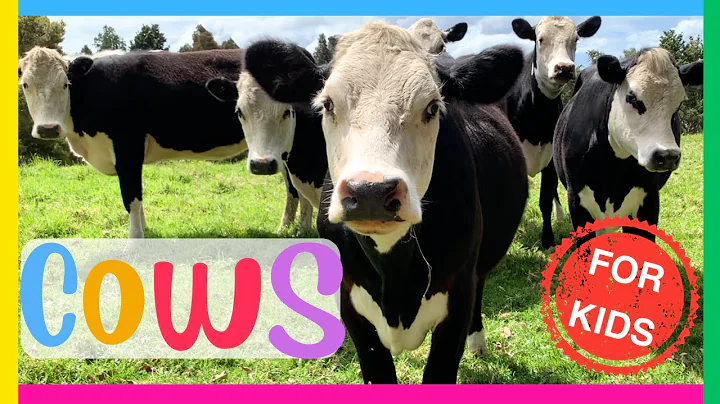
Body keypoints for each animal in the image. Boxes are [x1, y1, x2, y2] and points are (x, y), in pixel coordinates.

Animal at [18, 47, 302, 238]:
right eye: (25, 85)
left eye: (65, 84)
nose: (48, 129)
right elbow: (137, 196)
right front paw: (145, 229)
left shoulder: (127, 146)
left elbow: (130, 196)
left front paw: (135, 239)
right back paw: (288, 226)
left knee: (293, 185)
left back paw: (288, 227)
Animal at [502, 16, 602, 250]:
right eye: (540, 39)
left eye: (575, 39)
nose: (564, 68)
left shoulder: (550, 163)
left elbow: (545, 200)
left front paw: (548, 239)